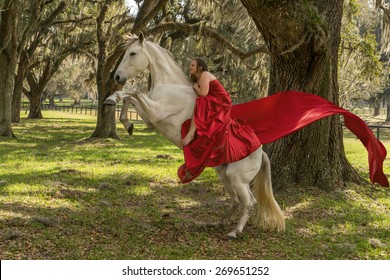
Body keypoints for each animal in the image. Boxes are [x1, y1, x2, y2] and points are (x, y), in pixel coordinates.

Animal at [104, 32, 284, 238]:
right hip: (224, 175)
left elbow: (133, 92)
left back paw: (234, 231)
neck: (171, 86)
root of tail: (260, 152)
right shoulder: (151, 118)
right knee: (236, 200)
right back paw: (218, 223)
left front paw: (112, 99)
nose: (117, 76)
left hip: (238, 179)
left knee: (249, 202)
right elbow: (130, 97)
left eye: (133, 53)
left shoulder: (156, 112)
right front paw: (127, 123)